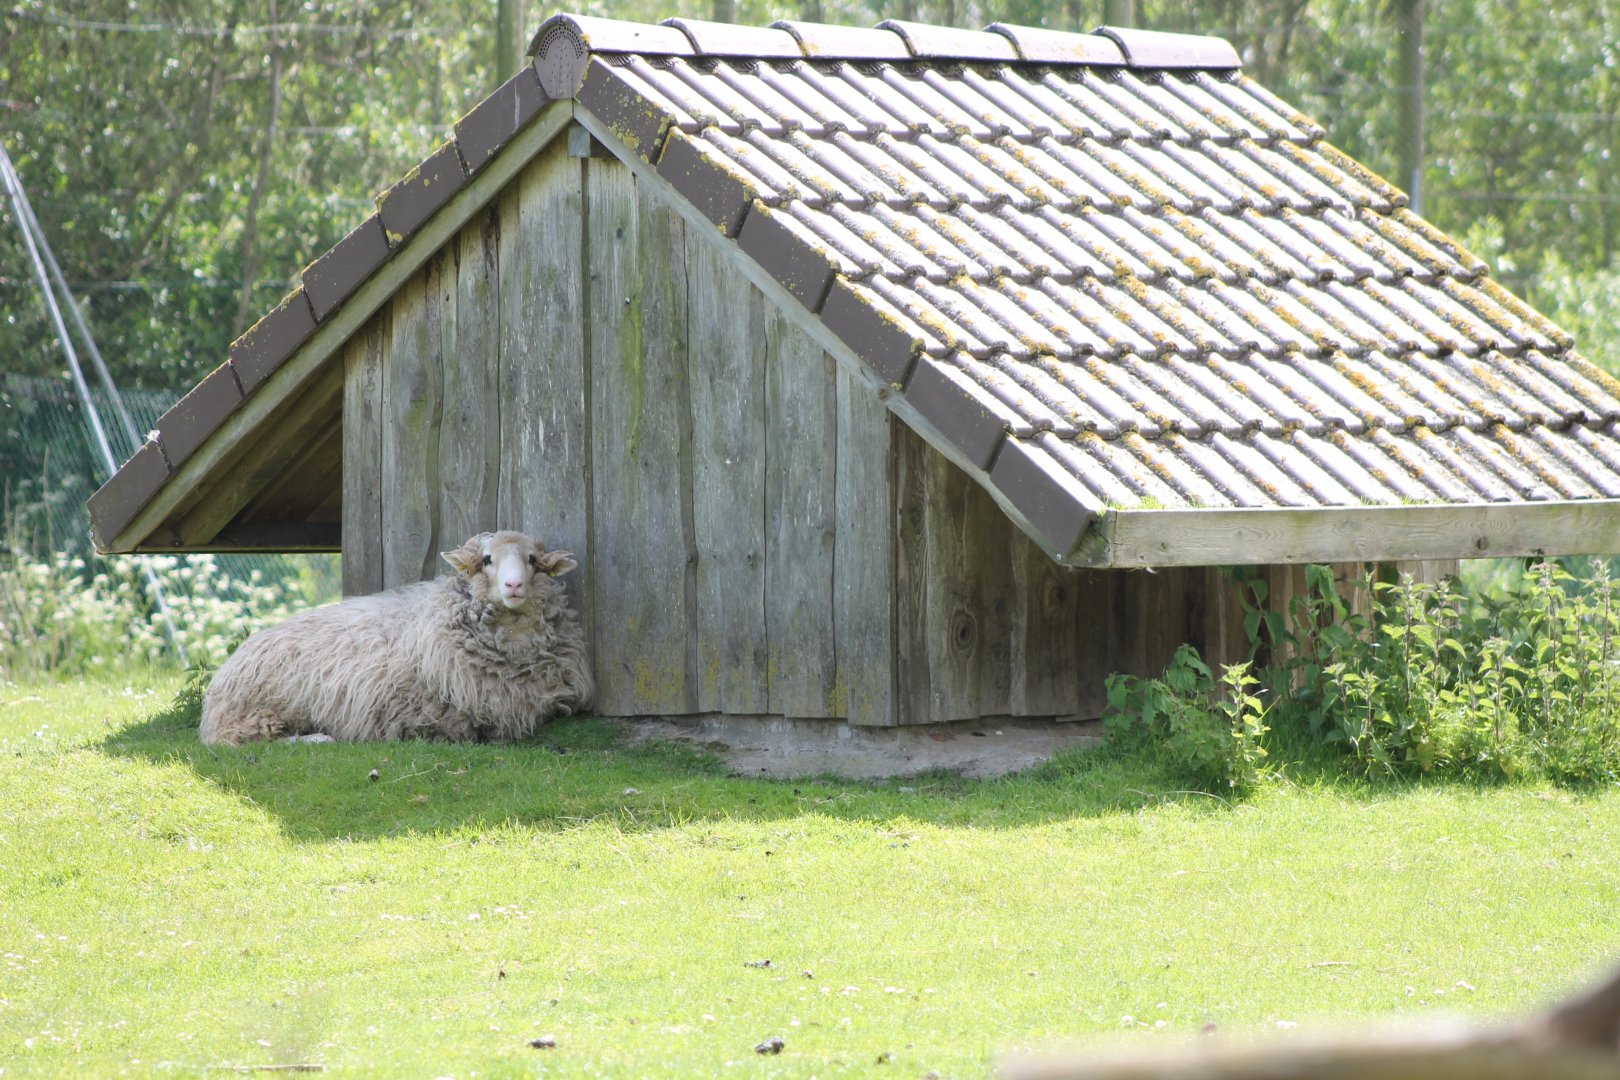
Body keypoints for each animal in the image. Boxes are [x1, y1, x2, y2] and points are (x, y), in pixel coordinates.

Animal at [199, 530, 593, 744]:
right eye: (486, 559)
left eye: (532, 559)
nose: (513, 585)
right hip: (258, 712)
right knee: (244, 740)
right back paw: (316, 738)